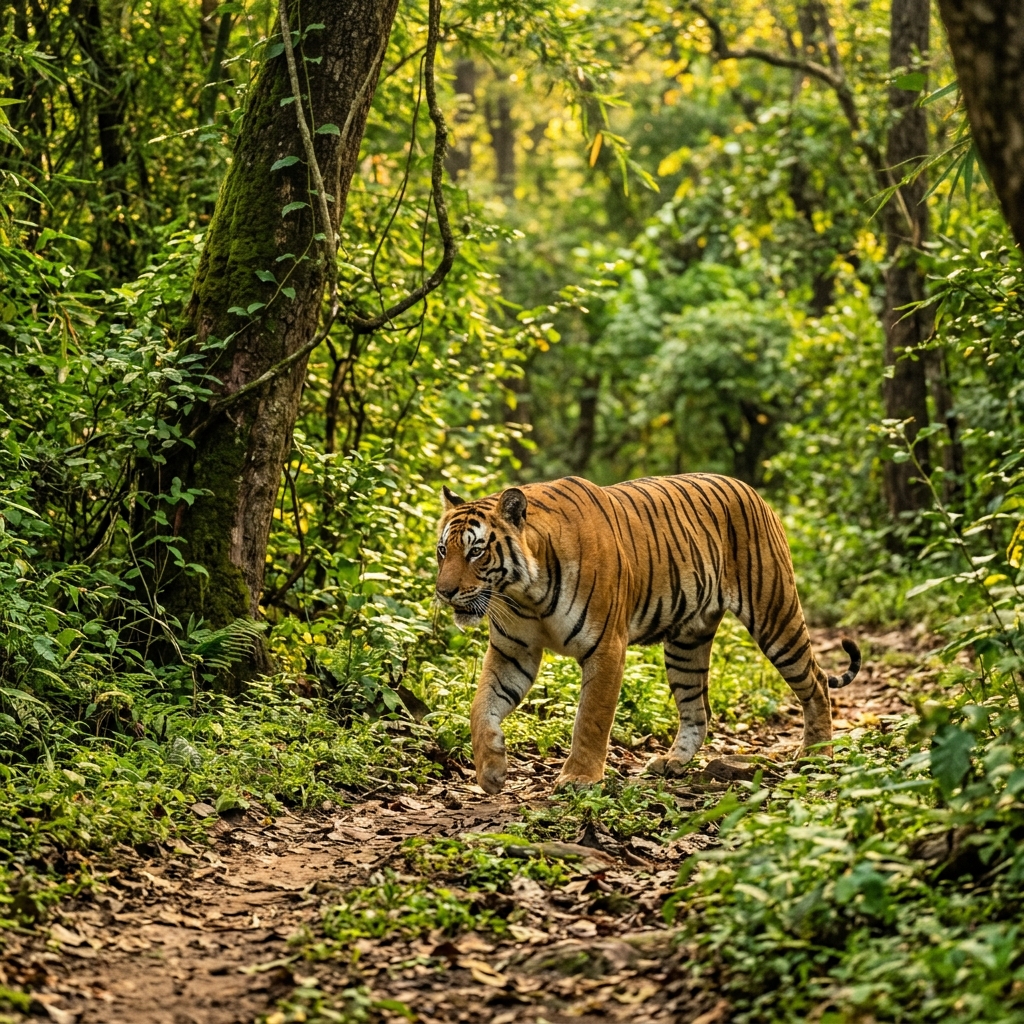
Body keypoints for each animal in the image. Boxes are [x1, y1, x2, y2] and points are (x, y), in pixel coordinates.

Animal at [434, 473, 861, 794]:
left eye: (476, 552)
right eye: (443, 551)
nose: (444, 591)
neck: (524, 593)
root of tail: (752, 491)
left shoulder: (606, 647)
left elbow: (591, 719)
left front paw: (579, 778)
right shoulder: (513, 652)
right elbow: (481, 706)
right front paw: (491, 769)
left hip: (775, 613)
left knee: (816, 681)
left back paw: (817, 754)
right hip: (686, 643)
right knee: (697, 710)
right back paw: (672, 763)